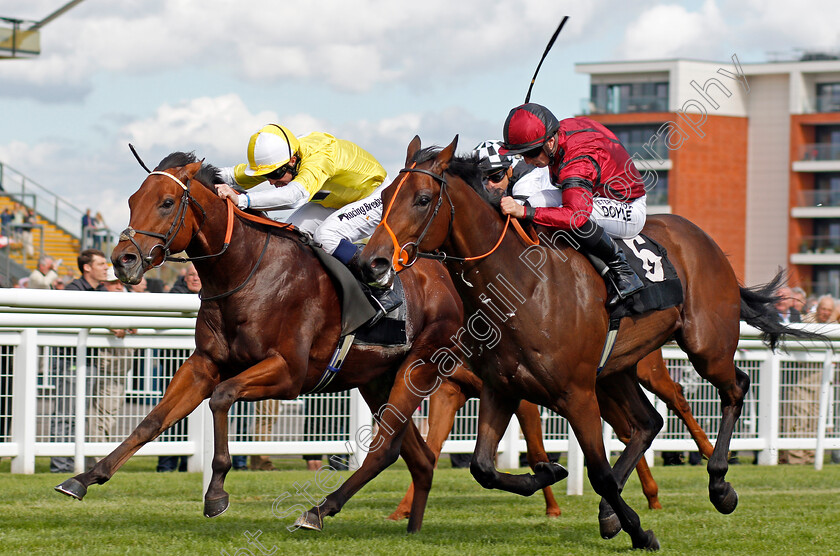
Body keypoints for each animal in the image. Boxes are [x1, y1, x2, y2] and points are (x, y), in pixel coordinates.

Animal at [358, 136, 824, 552]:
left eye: (422, 199)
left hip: (705, 346)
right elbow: (483, 467)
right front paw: (549, 474)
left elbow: (597, 472)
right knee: (648, 422)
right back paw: (612, 511)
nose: (370, 262)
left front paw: (641, 532)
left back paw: (719, 484)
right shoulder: (501, 388)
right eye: (385, 196)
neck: (525, 286)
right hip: (619, 369)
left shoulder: (577, 393)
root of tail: (703, 239)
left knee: (733, 388)